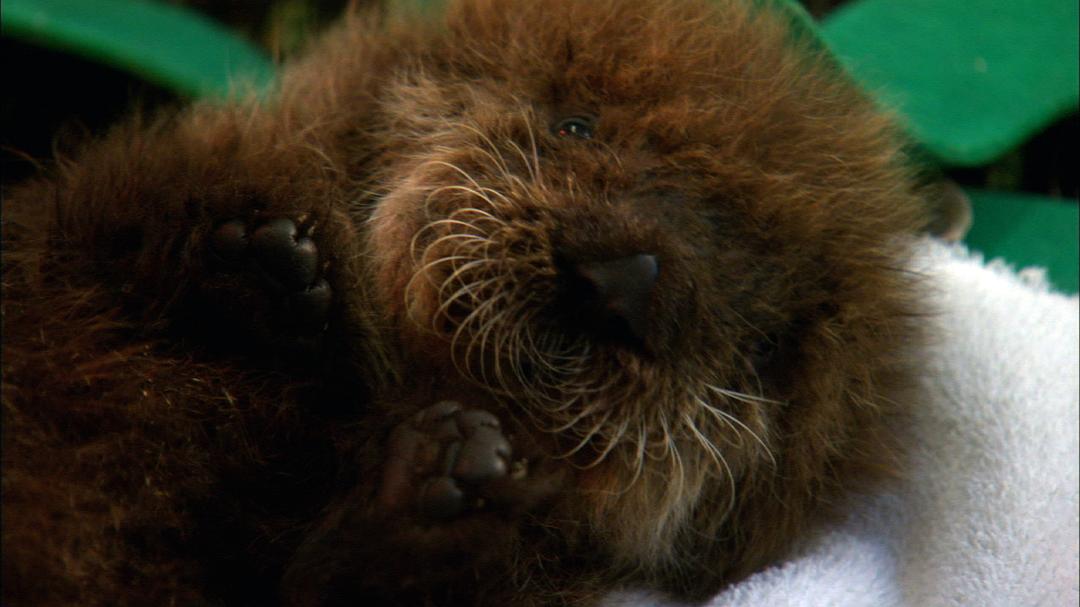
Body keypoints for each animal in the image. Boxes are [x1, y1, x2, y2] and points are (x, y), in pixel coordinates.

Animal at [1, 0, 928, 605]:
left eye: (765, 344)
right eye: (579, 124)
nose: (622, 281)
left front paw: (451, 483)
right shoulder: (90, 213)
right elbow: (93, 223)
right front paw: (265, 271)